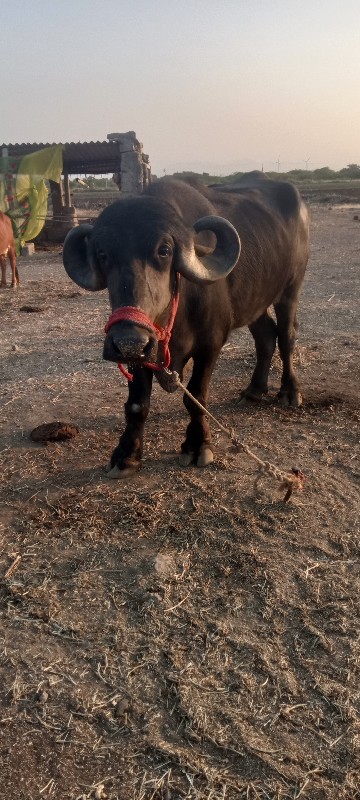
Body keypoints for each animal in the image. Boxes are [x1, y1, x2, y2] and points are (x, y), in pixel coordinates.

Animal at [62, 174, 310, 476]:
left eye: (164, 250)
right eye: (102, 253)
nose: (128, 341)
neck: (175, 317)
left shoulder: (211, 344)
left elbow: (196, 396)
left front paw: (197, 445)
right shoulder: (143, 352)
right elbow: (137, 404)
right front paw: (126, 454)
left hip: (291, 288)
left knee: (286, 336)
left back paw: (290, 392)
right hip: (254, 302)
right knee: (265, 336)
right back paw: (253, 391)